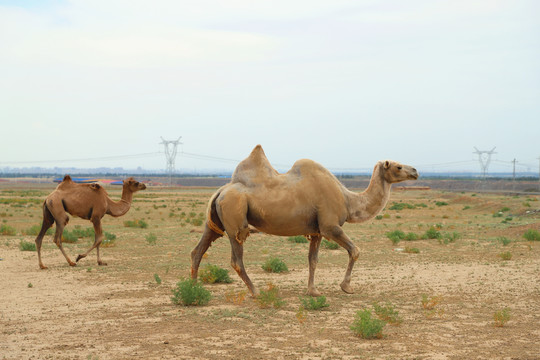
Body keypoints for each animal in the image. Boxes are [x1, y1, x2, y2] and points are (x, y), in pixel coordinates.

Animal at [192, 145, 420, 296]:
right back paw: (256, 291)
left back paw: (192, 288)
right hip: (234, 220)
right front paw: (346, 287)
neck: (348, 200)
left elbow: (313, 260)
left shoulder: (316, 230)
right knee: (236, 260)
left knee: (198, 250)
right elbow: (355, 250)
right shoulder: (329, 226)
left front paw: (313, 291)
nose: (416, 171)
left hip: (215, 221)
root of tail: (221, 191)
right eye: (398, 167)